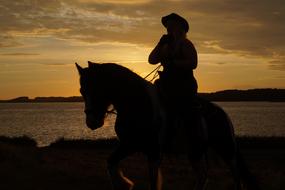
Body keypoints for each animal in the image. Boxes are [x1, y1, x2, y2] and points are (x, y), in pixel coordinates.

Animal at [75, 61, 258, 189]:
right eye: (82, 91)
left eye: (97, 88)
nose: (91, 122)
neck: (138, 103)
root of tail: (223, 114)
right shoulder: (129, 145)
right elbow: (111, 163)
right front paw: (126, 185)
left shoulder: (154, 151)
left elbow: (153, 182)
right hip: (196, 152)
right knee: (202, 175)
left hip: (226, 149)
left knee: (236, 176)